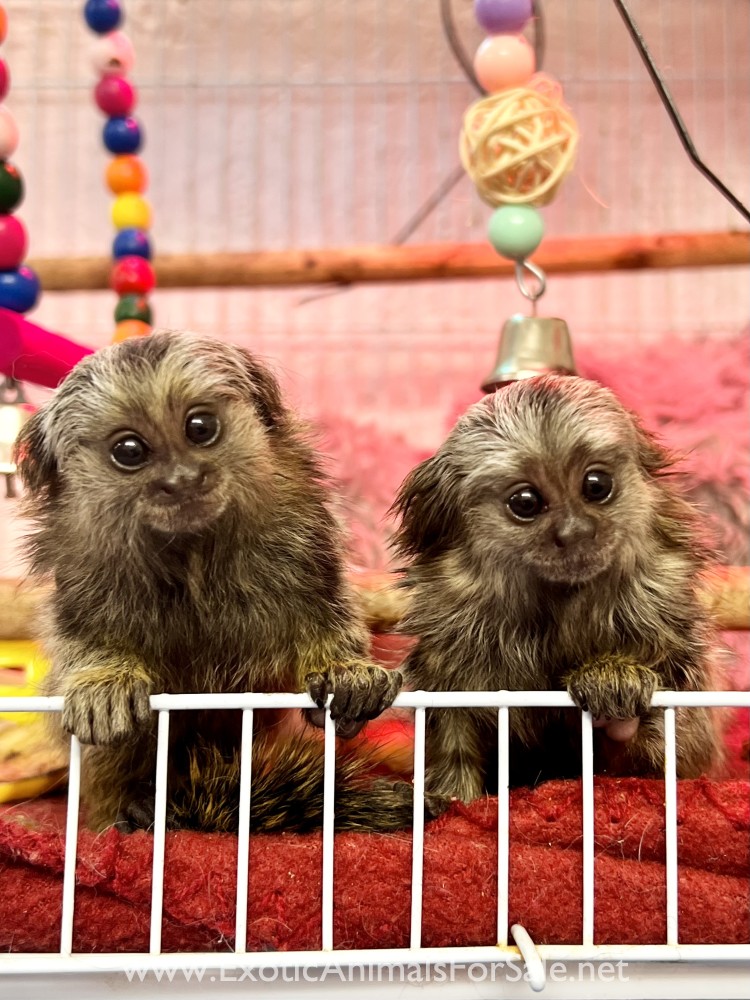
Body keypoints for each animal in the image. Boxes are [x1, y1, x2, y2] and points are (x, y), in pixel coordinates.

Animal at [14, 330, 409, 833]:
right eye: (129, 451)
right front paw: (104, 684)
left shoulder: (302, 550)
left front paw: (347, 674)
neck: (193, 556)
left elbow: (323, 622)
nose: (181, 479)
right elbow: (84, 644)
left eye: (200, 428)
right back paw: (131, 812)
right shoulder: (85, 579)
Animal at [390, 374, 723, 808]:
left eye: (596, 486)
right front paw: (447, 799)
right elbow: (452, 732)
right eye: (525, 502)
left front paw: (616, 692)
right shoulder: (450, 655)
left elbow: (665, 764)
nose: (575, 532)